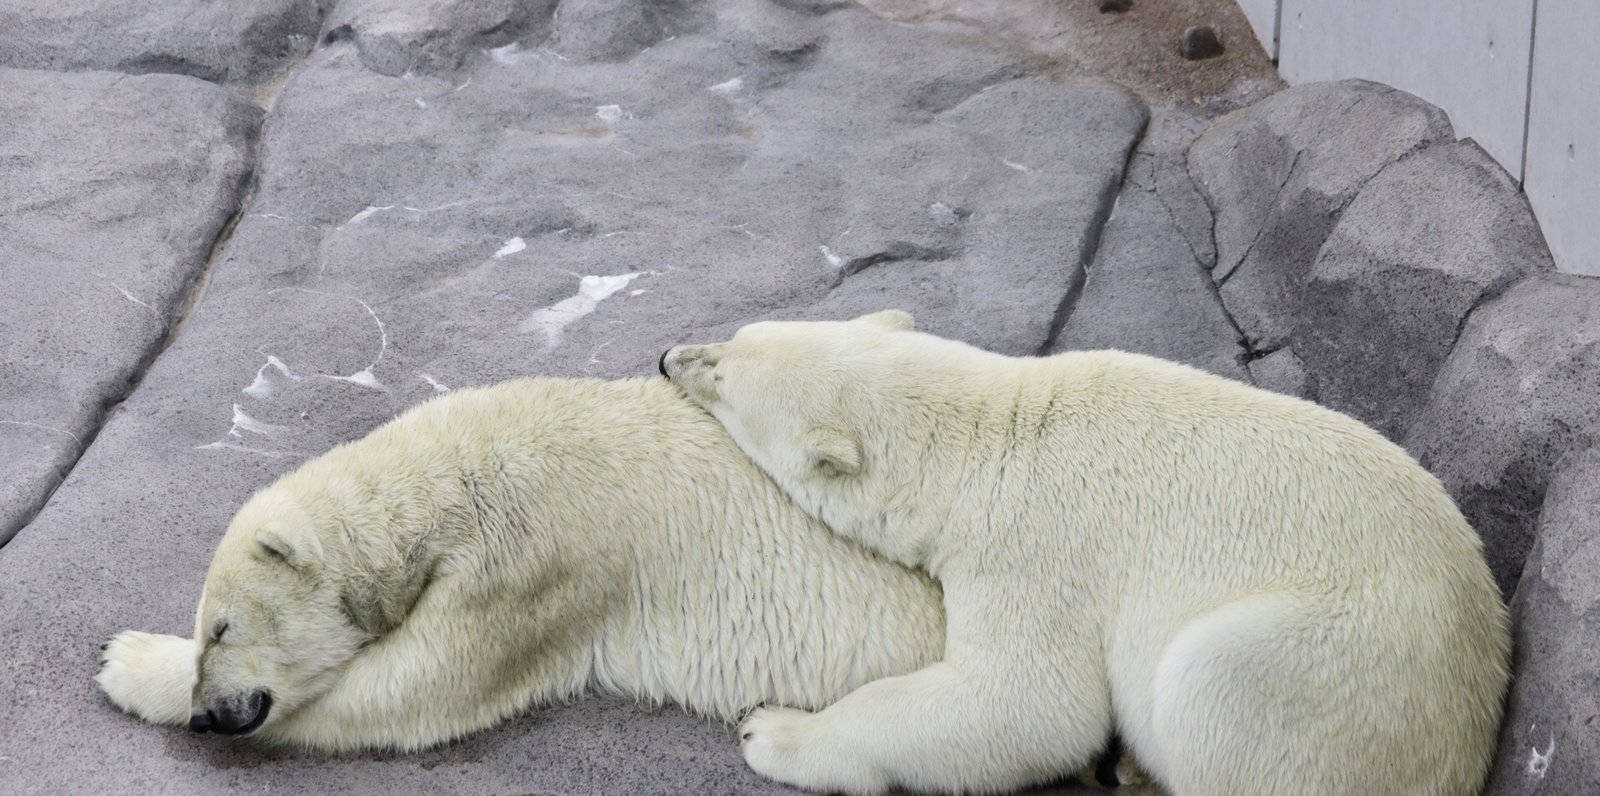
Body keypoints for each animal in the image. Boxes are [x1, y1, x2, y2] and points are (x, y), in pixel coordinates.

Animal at [96, 378, 947, 751]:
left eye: (221, 629)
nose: (211, 713)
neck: (456, 478)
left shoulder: (534, 569)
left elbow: (409, 690)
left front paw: (124, 659)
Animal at [659, 311, 1510, 796]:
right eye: (737, 337)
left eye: (723, 372)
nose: (670, 355)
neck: (993, 437)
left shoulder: (1032, 548)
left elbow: (1030, 706)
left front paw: (772, 730)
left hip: (1339, 676)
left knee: (1213, 682)